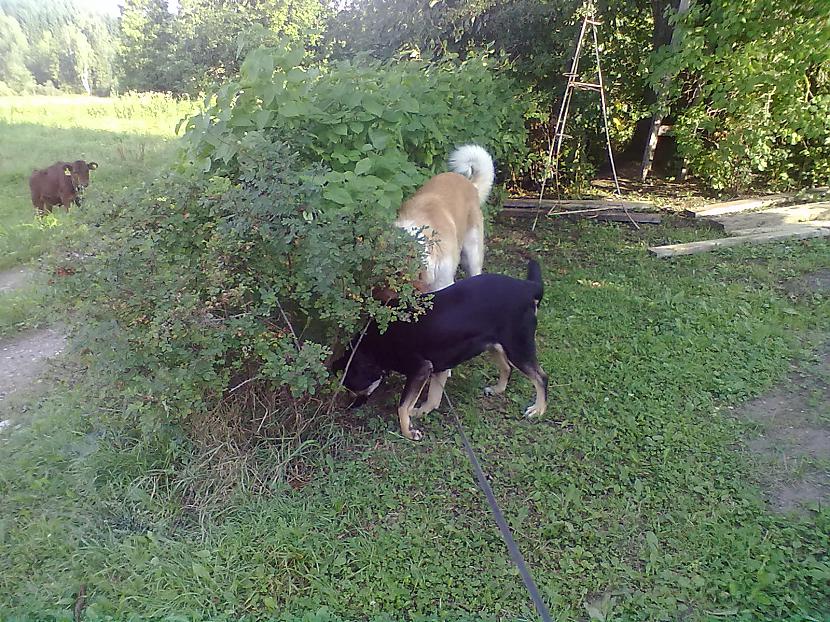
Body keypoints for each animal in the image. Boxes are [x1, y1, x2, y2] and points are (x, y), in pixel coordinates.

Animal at [334, 260, 548, 442]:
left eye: (353, 387)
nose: (350, 407)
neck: (373, 344)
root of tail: (527, 287)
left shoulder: (421, 368)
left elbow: (402, 406)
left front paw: (408, 431)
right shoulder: (439, 365)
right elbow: (433, 398)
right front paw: (421, 412)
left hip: (518, 348)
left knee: (541, 377)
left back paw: (538, 409)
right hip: (495, 344)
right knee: (507, 367)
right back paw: (498, 389)